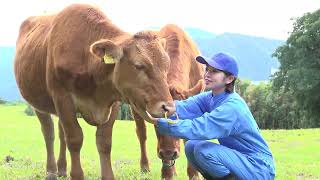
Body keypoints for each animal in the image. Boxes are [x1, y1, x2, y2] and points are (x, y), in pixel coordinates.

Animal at [14, 4, 175, 180]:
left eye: (167, 66)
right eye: (139, 65)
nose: (168, 107)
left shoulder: (113, 102)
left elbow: (104, 141)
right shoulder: (63, 98)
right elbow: (75, 138)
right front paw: (76, 175)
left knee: (61, 133)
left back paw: (62, 169)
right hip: (38, 103)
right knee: (48, 133)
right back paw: (51, 171)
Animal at [132, 24, 205, 180]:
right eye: (156, 123)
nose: (168, 153)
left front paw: (194, 173)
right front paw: (166, 173)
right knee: (141, 133)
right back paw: (145, 167)